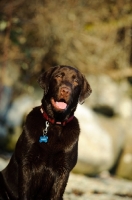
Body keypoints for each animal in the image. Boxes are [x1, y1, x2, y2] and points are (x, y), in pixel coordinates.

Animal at [0, 65, 92, 199]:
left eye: (76, 81)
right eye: (58, 76)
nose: (65, 90)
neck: (55, 123)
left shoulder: (63, 169)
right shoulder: (26, 163)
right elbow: (24, 191)